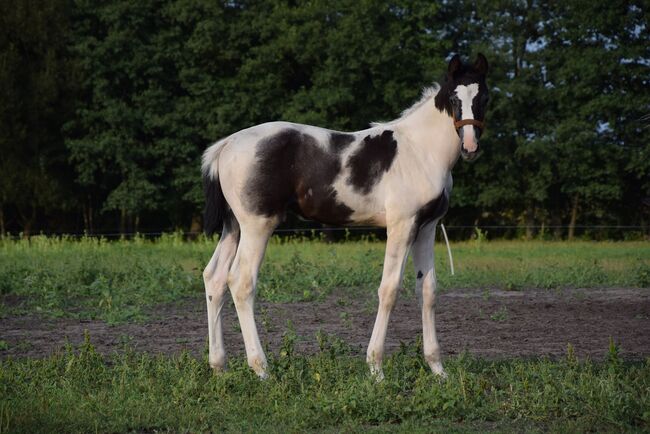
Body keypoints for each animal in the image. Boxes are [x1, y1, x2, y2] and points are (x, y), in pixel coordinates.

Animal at [201, 54, 486, 380]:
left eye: (484, 98)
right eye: (453, 98)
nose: (470, 146)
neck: (420, 150)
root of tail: (225, 145)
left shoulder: (426, 227)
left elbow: (427, 290)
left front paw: (438, 370)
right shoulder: (401, 225)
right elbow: (389, 289)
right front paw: (376, 369)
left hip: (234, 227)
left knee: (214, 278)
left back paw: (219, 366)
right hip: (257, 226)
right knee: (241, 282)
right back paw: (262, 370)